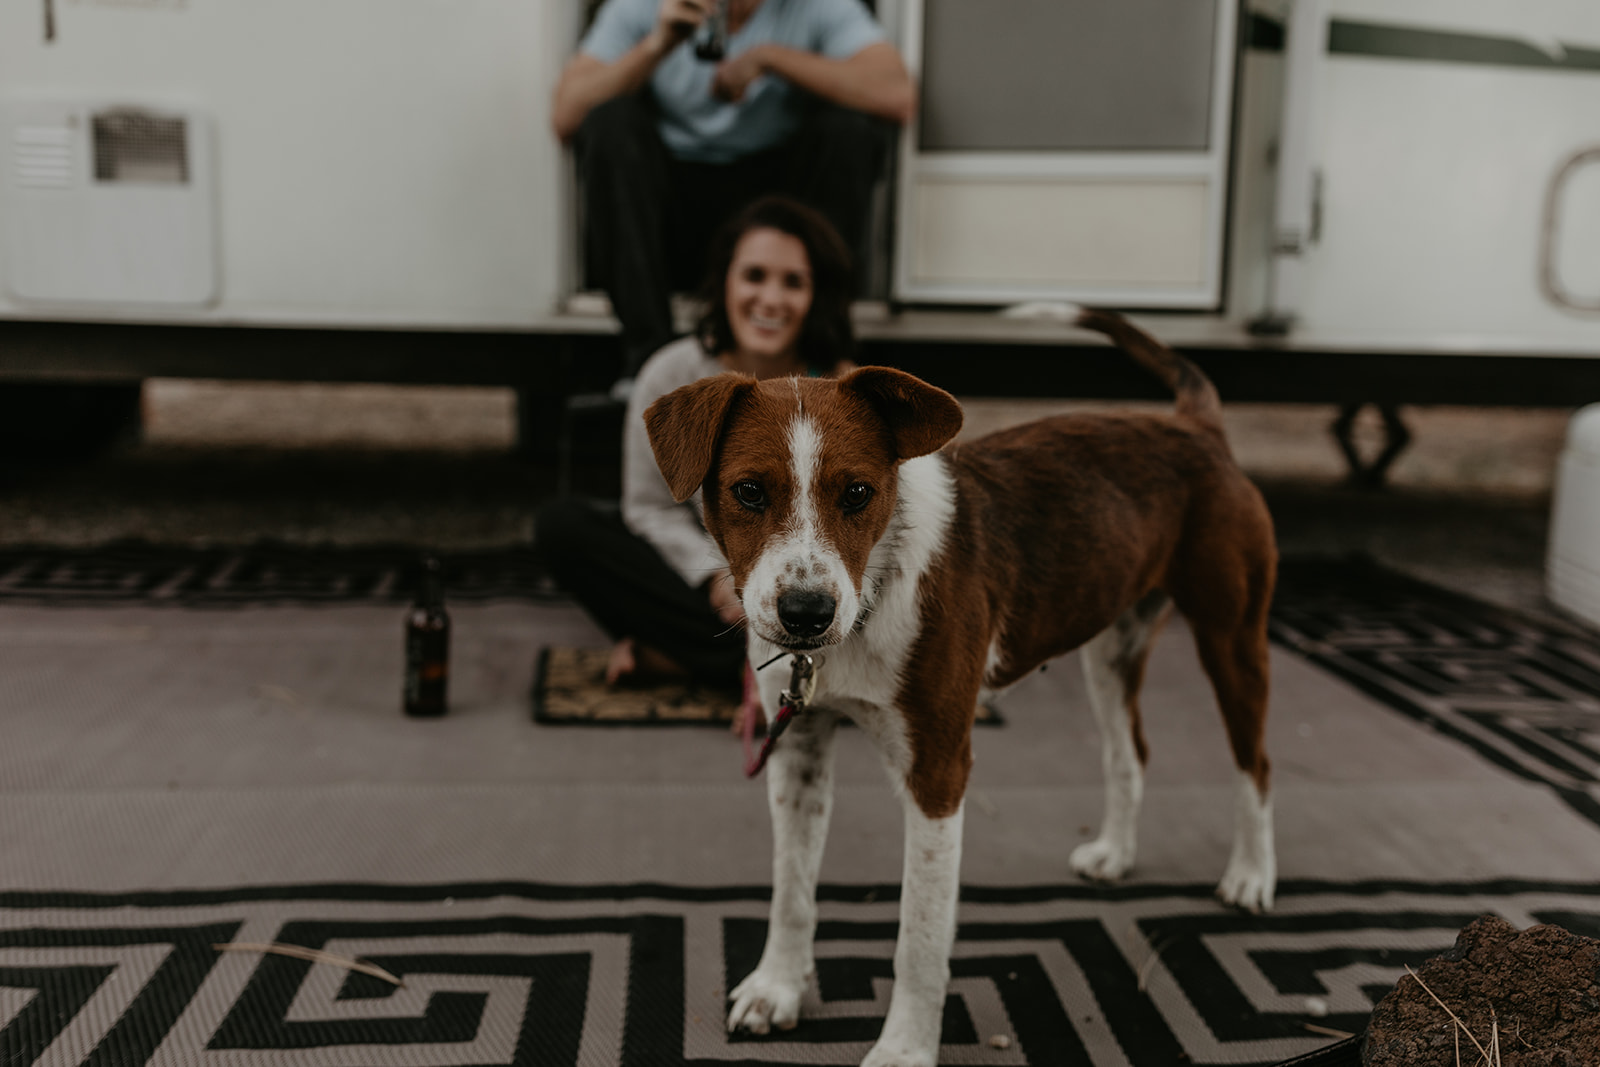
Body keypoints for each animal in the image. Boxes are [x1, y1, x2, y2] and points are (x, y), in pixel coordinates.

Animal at [643, 303, 1280, 1062]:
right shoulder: (797, 749)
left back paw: (1252, 874)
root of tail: (1197, 426)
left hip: (1232, 637)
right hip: (1112, 643)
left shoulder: (938, 772)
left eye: (858, 492)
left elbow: (918, 939)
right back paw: (1118, 853)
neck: (871, 594)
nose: (805, 613)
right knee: (1131, 752)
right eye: (748, 491)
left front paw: (904, 1048)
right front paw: (778, 988)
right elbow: (791, 890)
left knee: (1255, 762)